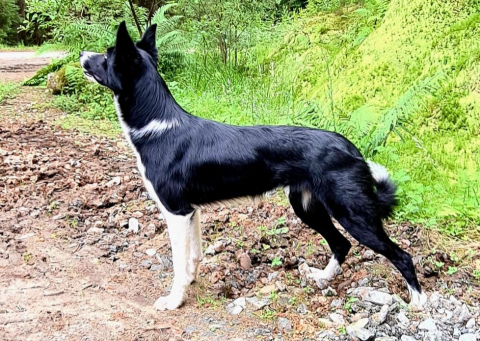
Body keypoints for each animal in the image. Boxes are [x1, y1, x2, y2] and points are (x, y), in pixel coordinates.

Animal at [81, 20, 428, 308]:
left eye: (107, 56)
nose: (82, 53)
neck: (156, 124)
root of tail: (351, 147)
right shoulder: (190, 212)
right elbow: (193, 257)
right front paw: (191, 284)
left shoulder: (176, 212)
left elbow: (179, 263)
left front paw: (174, 300)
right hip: (307, 207)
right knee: (341, 244)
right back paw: (323, 277)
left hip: (352, 213)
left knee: (402, 255)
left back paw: (418, 303)